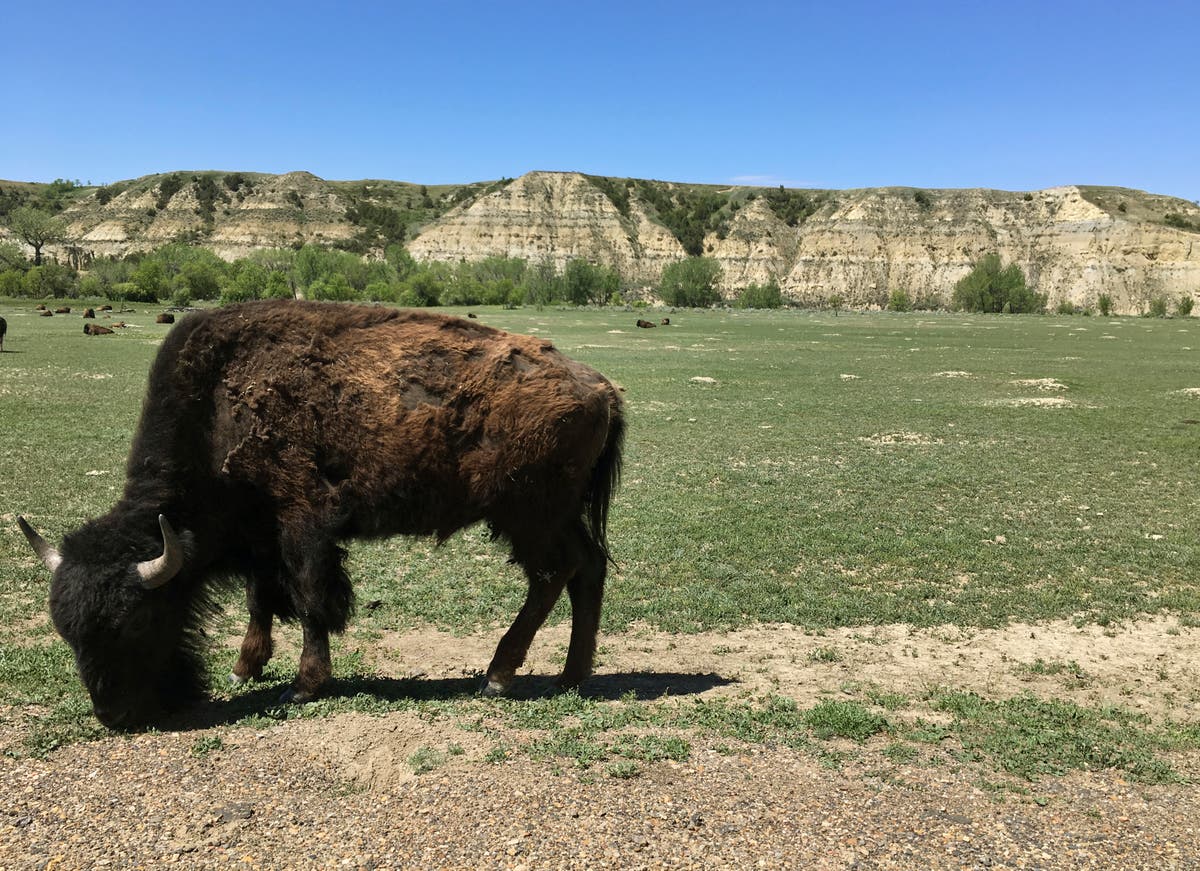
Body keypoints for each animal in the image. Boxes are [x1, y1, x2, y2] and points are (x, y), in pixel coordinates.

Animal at [19, 301, 625, 729]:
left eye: (138, 620)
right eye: (67, 633)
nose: (113, 714)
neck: (216, 409)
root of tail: (602, 388)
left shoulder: (302, 525)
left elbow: (310, 600)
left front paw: (304, 685)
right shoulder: (260, 536)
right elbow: (262, 599)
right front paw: (245, 667)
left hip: (528, 516)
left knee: (552, 575)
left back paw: (499, 676)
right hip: (555, 515)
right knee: (587, 569)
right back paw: (571, 677)